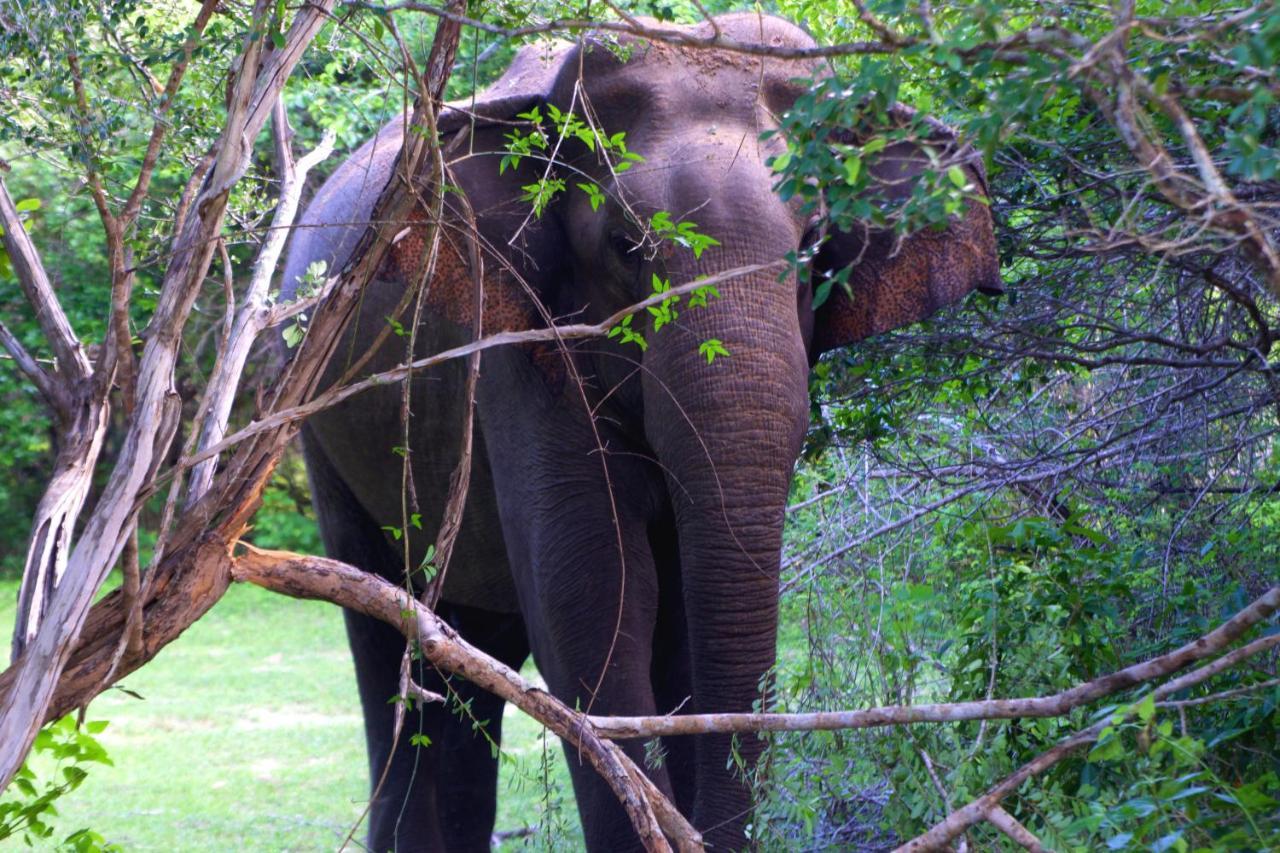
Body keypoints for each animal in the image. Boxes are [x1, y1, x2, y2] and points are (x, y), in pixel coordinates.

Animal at [280, 13, 998, 850]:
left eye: (816, 241)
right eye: (626, 244)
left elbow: (680, 612)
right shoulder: (516, 341)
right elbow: (590, 596)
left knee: (465, 648)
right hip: (320, 421)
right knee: (385, 624)